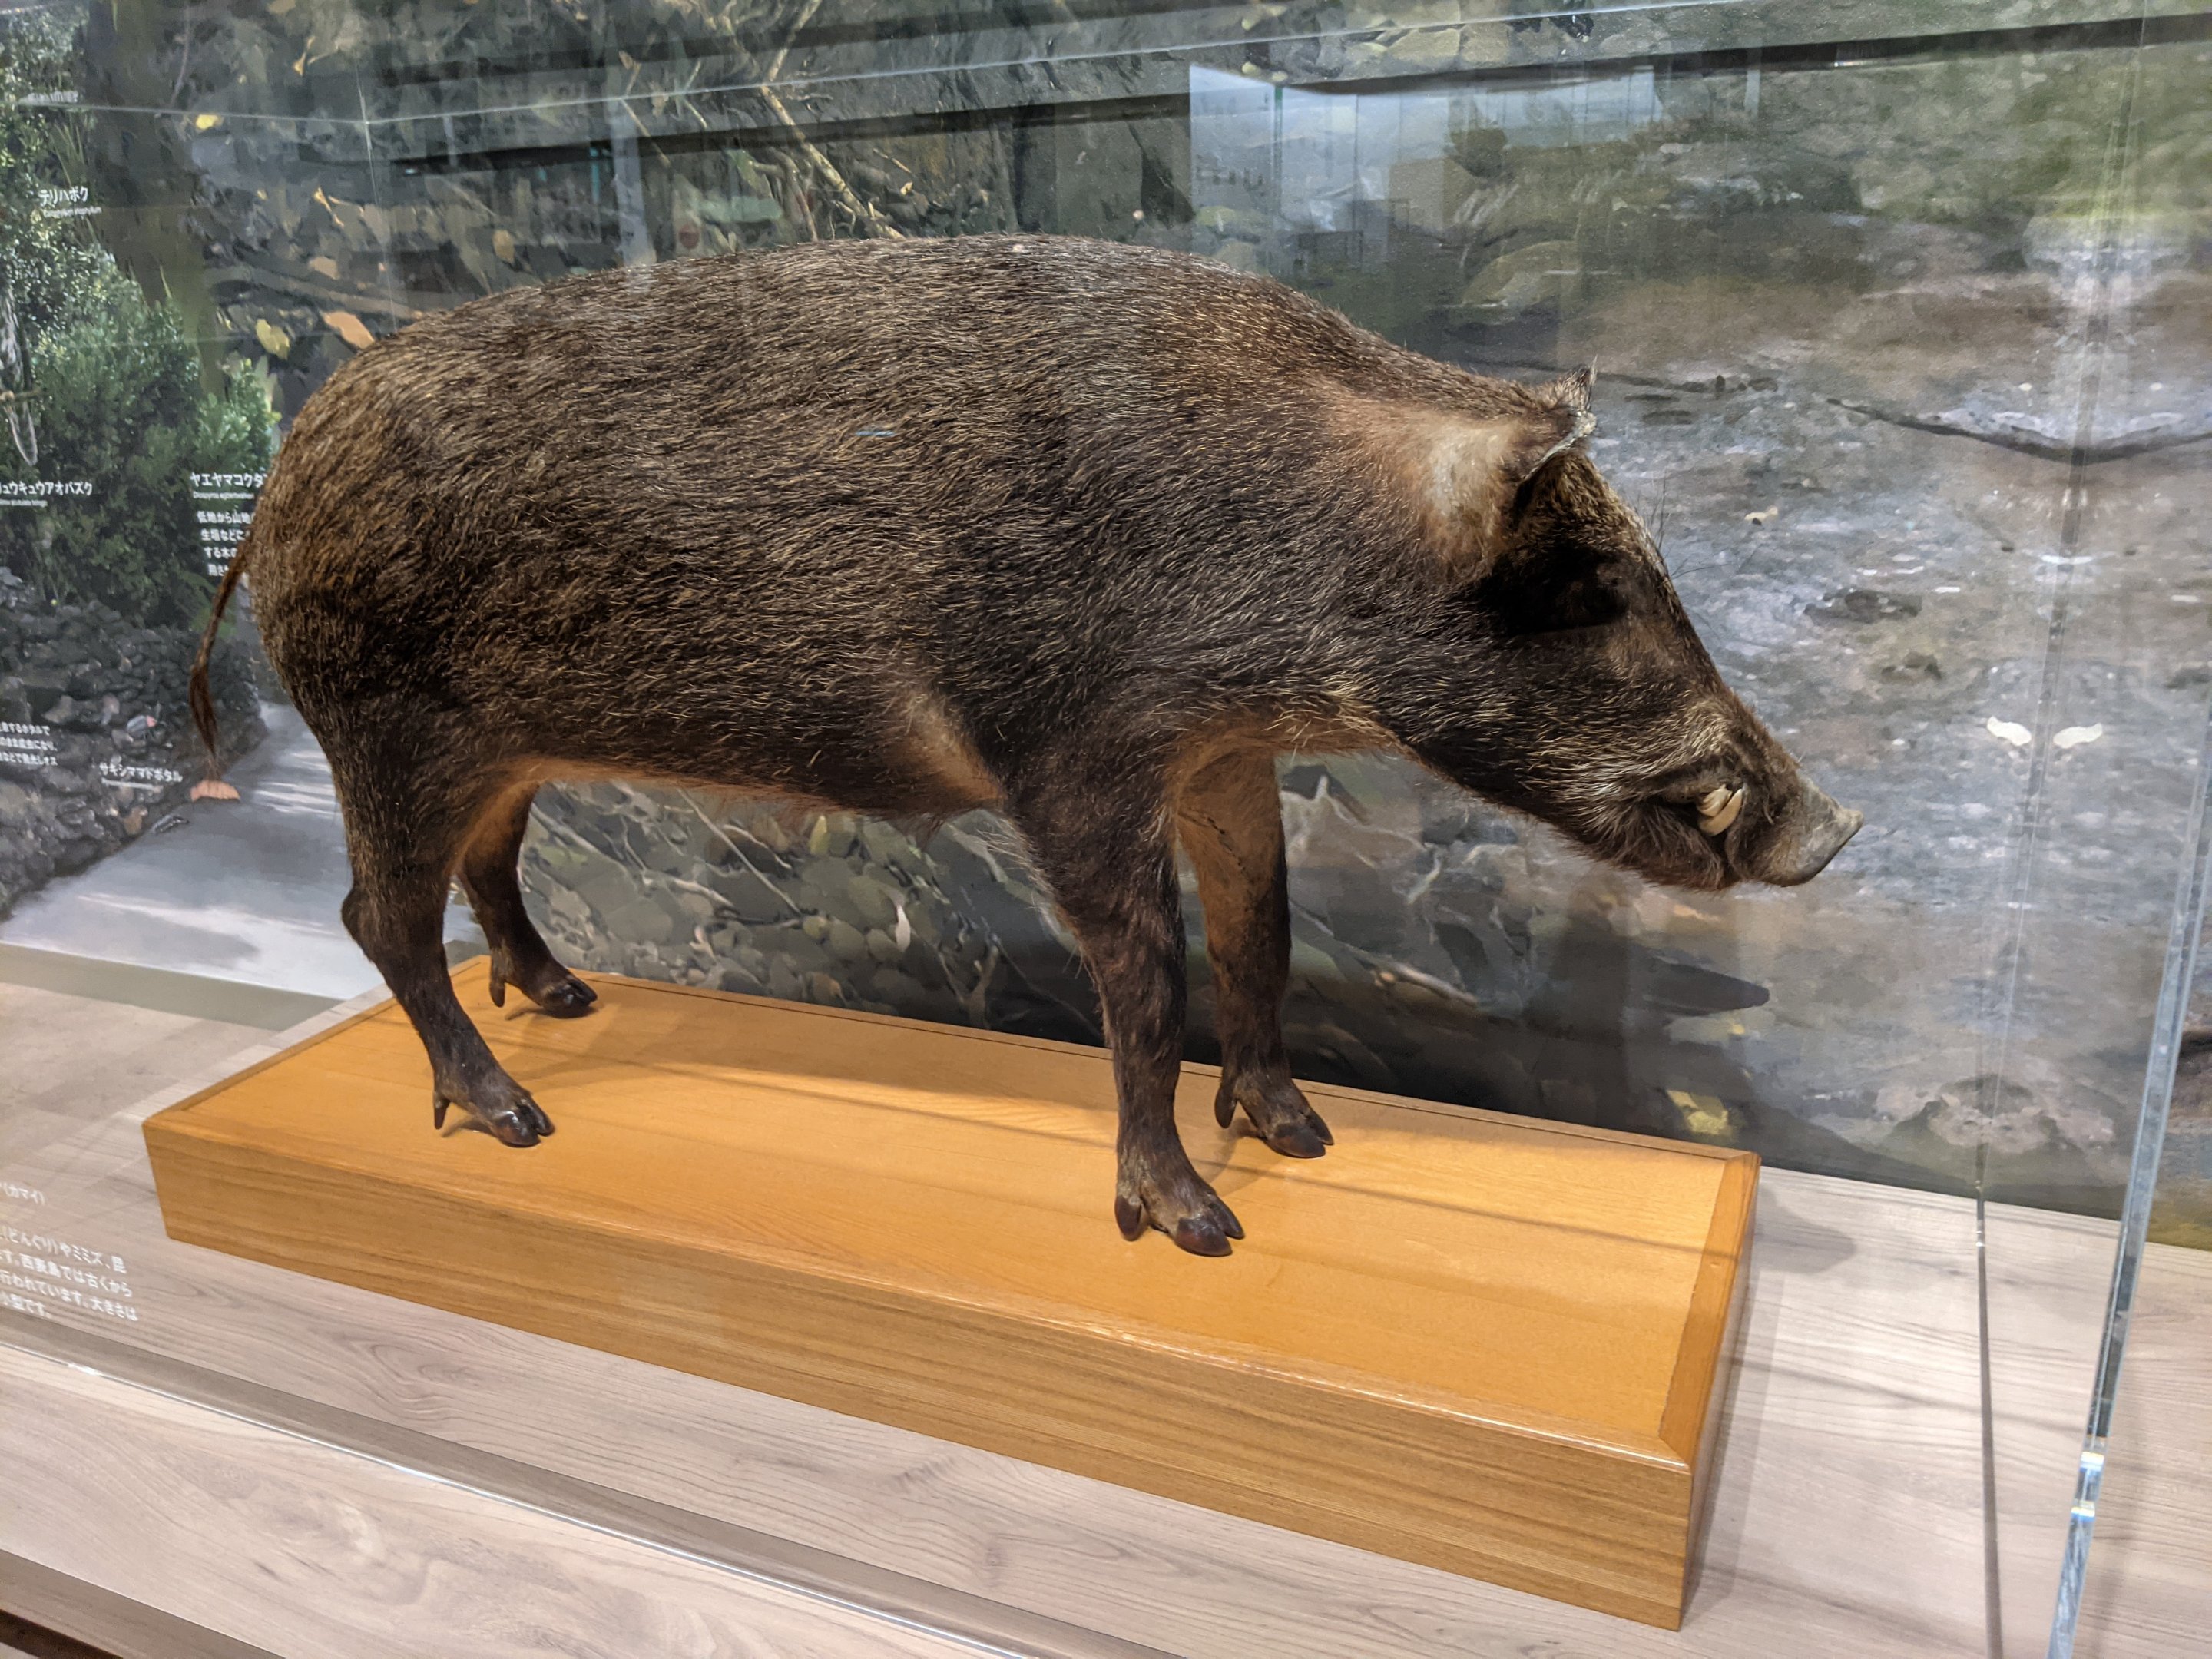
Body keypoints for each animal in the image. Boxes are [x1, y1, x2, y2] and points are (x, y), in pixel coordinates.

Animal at [190, 234, 1861, 1257]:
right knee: (375, 915)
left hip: (505, 753)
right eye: (1585, 589)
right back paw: (515, 1119)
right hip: (384, 731)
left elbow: (1264, 928)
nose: (1829, 828)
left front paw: (1305, 1139)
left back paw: (570, 1000)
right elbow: (1150, 975)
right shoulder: (1067, 756)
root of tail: (273, 485)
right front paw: (1197, 1226)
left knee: (485, 879)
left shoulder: (1222, 754)